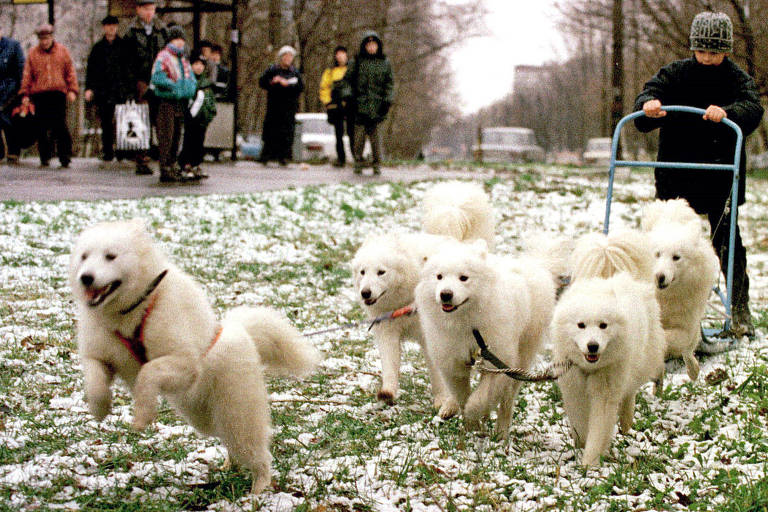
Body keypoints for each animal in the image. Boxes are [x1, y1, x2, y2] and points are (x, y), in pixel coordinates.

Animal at [69, 219, 320, 492]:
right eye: (84, 256)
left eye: (110, 256)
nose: (85, 278)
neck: (132, 312)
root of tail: (241, 332)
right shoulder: (101, 355)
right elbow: (94, 377)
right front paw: (100, 407)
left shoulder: (185, 362)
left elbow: (148, 372)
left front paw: (143, 415)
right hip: (205, 418)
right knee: (228, 442)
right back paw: (229, 466)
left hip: (237, 416)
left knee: (258, 453)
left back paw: (257, 490)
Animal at [414, 239, 552, 436]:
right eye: (439, 276)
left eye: (464, 278)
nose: (445, 294)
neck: (466, 324)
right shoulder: (452, 363)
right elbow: (462, 395)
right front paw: (471, 425)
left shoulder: (499, 361)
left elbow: (480, 398)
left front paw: (473, 415)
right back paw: (450, 407)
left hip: (522, 355)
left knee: (507, 399)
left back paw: (501, 433)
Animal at [552, 274, 664, 466]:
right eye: (581, 325)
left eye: (603, 325)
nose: (593, 346)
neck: (589, 369)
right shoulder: (574, 391)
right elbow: (580, 422)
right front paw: (581, 444)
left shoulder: (605, 394)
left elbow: (598, 429)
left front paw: (590, 463)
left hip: (640, 362)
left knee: (630, 390)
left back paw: (626, 420)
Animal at [640, 199, 720, 380]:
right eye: (657, 254)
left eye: (676, 257)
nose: (659, 276)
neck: (667, 298)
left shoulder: (685, 326)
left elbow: (675, 341)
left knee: (689, 349)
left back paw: (693, 370)